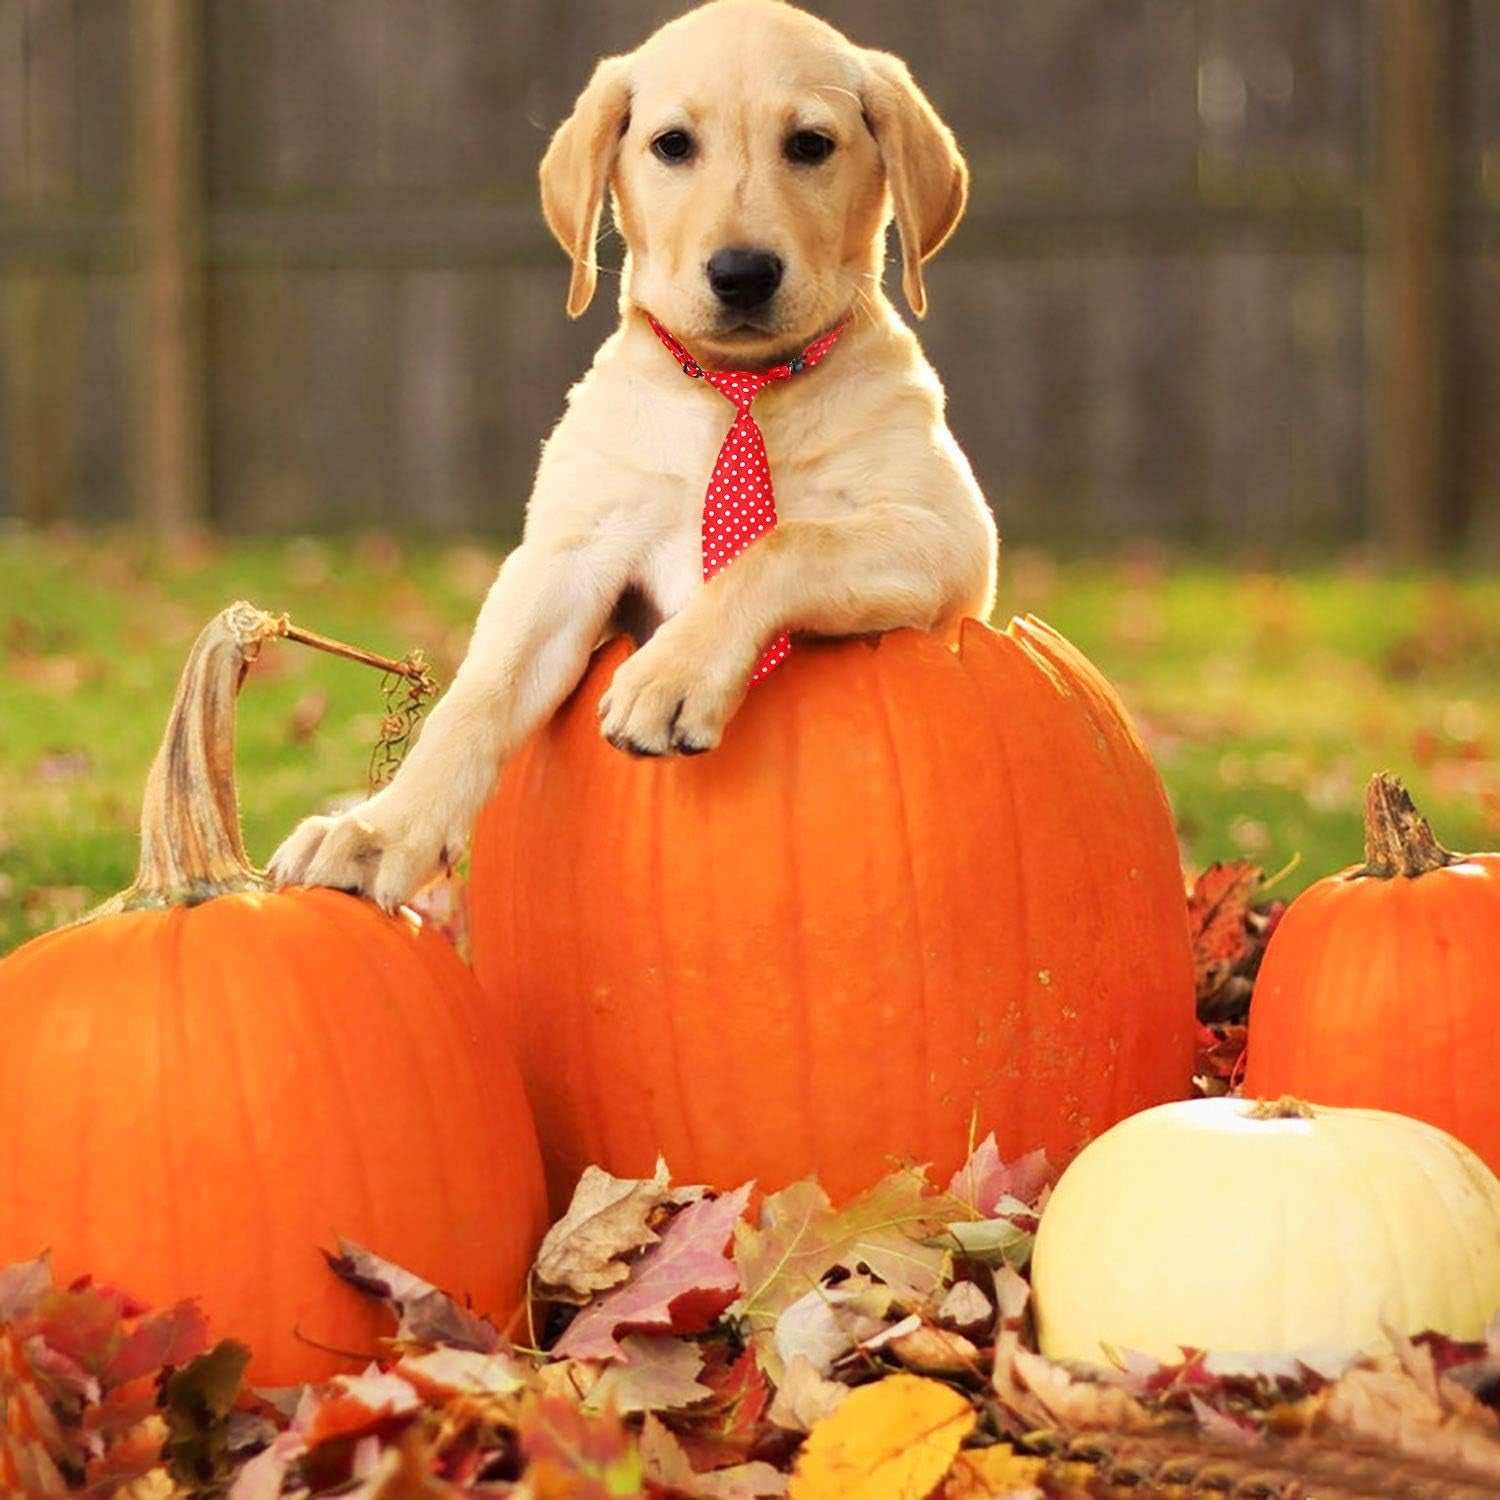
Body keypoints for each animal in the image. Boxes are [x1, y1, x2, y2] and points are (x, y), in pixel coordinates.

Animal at [273, 0, 996, 906]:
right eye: (672, 145)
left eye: (811, 145)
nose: (743, 274)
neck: (736, 391)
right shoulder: (568, 556)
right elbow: (483, 690)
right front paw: (381, 830)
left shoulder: (948, 538)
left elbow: (786, 544)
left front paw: (669, 675)